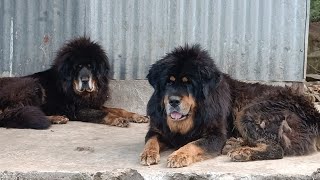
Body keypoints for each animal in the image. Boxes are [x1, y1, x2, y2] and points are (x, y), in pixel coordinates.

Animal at [141, 44, 320, 168]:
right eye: (168, 82)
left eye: (189, 83)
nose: (173, 101)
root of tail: (313, 113)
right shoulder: (158, 130)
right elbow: (151, 140)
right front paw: (148, 154)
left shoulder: (216, 136)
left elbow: (193, 144)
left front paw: (179, 155)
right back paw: (235, 144)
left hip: (249, 112)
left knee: (277, 148)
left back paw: (242, 152)